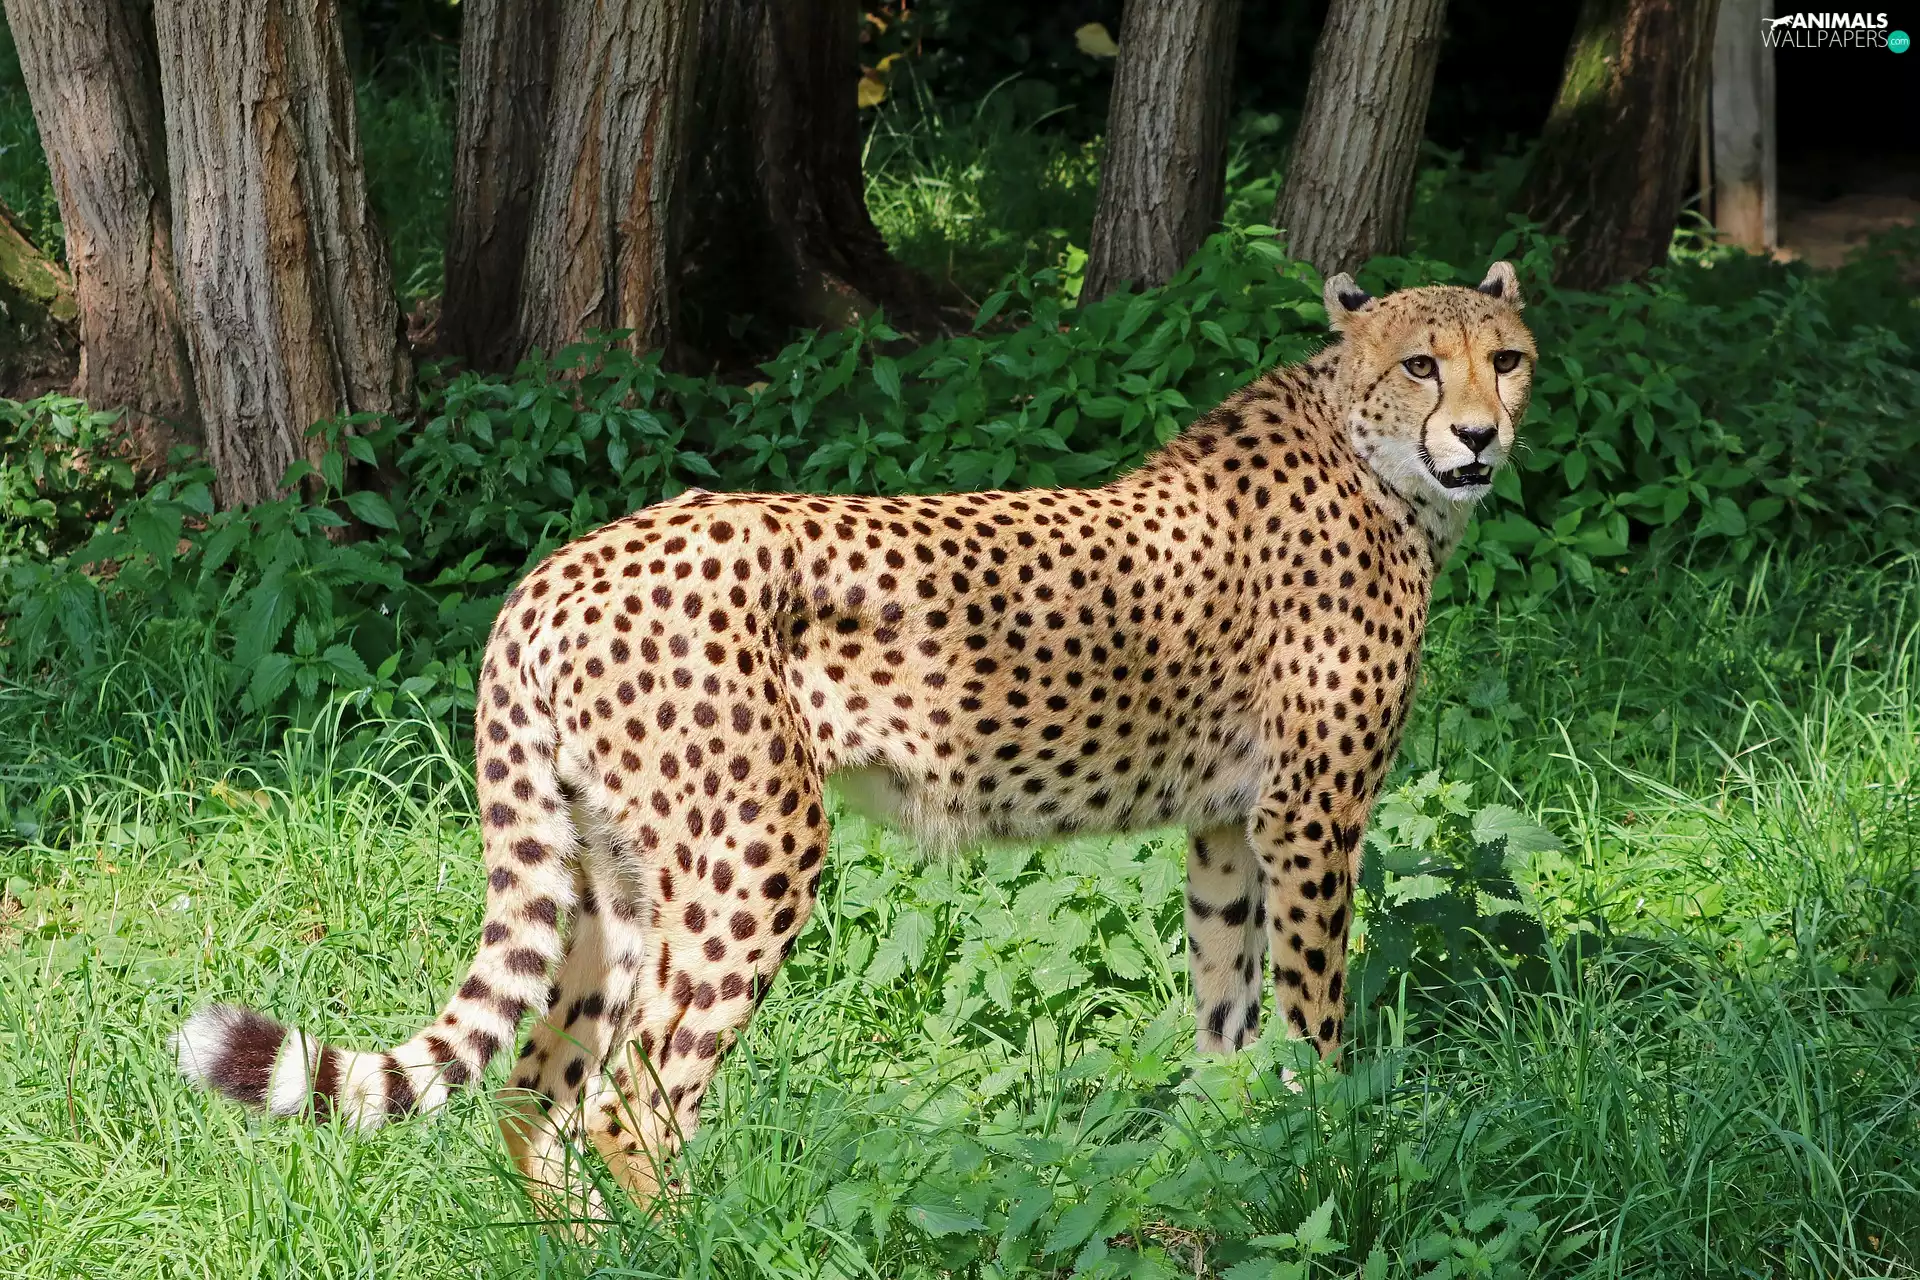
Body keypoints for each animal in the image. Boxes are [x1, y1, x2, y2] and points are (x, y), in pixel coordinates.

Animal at [177, 261, 1537, 1213]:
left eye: (1509, 359)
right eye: (1423, 364)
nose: (1482, 435)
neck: (1375, 463)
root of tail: (563, 563)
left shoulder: (1223, 824)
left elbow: (1228, 1008)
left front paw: (1229, 1149)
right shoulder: (1311, 817)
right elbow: (1315, 1016)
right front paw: (1331, 1149)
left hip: (617, 873)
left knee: (537, 1087)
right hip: (754, 848)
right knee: (633, 1099)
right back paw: (695, 1246)